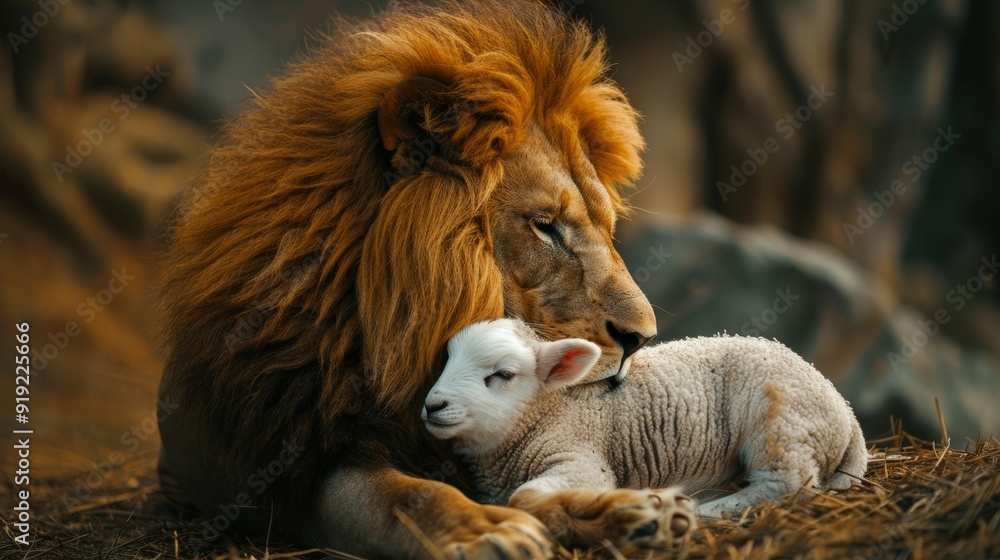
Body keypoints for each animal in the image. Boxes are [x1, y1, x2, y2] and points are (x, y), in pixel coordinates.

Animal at [156, 0, 677, 557]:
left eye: (608, 226)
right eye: (544, 226)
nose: (642, 338)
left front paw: (635, 513)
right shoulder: (296, 464)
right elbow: (402, 497)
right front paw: (487, 530)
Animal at [422, 318, 867, 544]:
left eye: (502, 375)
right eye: (447, 360)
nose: (432, 406)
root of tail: (846, 414)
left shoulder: (579, 456)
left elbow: (525, 498)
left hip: (781, 420)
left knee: (787, 483)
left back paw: (706, 510)